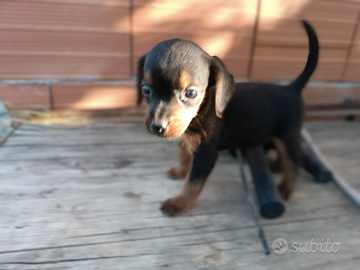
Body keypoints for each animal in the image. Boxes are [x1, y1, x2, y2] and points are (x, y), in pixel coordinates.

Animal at [137, 20, 318, 217]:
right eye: (145, 89)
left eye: (190, 93)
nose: (157, 126)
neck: (202, 111)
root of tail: (291, 88)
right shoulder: (184, 138)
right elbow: (184, 156)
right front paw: (180, 171)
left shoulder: (205, 155)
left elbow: (192, 184)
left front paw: (179, 203)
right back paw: (277, 167)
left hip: (288, 135)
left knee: (295, 162)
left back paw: (286, 187)